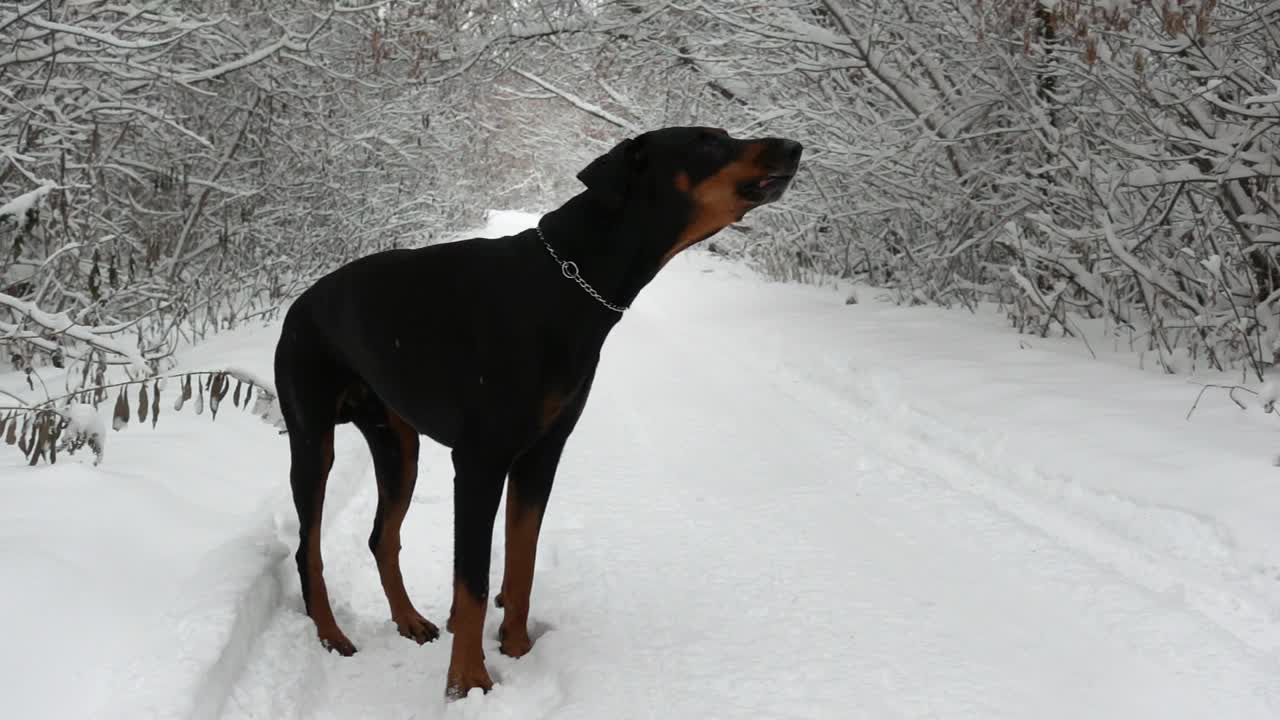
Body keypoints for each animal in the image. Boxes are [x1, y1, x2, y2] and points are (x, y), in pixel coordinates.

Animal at [273, 124, 798, 696]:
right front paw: (468, 681)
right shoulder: (480, 460)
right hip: (313, 439)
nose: (794, 147)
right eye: (706, 141)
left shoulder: (542, 453)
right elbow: (473, 581)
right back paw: (332, 634)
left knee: (381, 537)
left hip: (398, 445)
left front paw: (518, 649)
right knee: (308, 548)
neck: (571, 282)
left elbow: (520, 561)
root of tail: (298, 303)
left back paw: (409, 619)